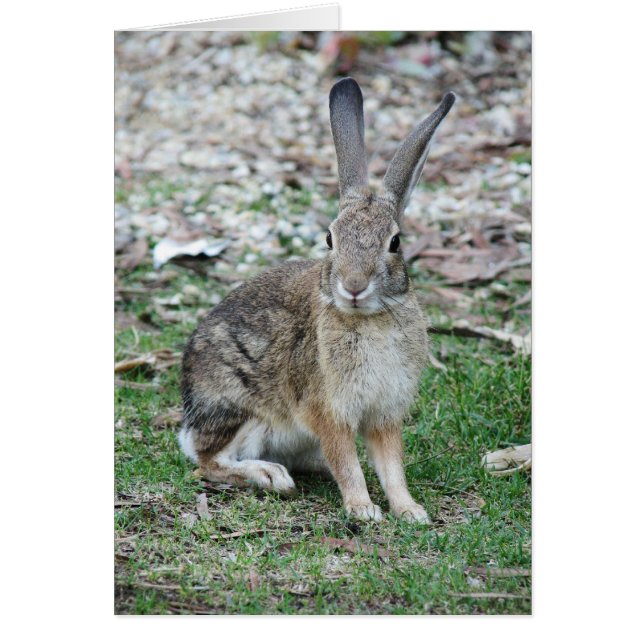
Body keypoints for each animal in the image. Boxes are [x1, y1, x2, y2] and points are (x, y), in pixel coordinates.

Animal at [179, 78, 455, 523]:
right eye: (330, 239)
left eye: (395, 243)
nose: (354, 286)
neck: (368, 318)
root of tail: (189, 421)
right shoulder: (328, 410)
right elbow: (347, 460)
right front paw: (363, 509)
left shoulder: (384, 415)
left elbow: (391, 465)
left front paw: (409, 511)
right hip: (242, 409)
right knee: (209, 462)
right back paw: (269, 475)